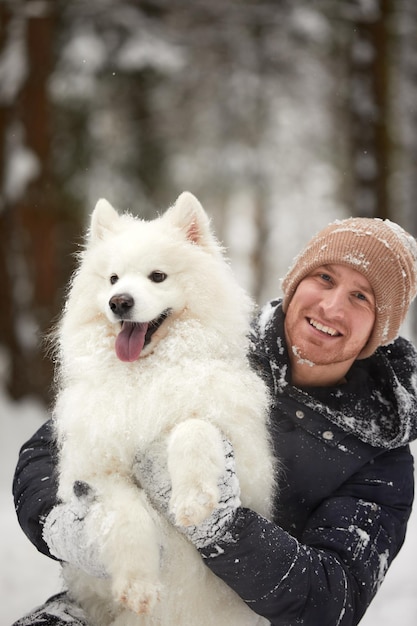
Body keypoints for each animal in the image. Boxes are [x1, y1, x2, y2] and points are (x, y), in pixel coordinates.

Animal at [51, 191, 272, 624]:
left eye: (158, 276)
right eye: (113, 279)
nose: (119, 302)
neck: (145, 374)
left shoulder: (250, 466)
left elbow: (193, 427)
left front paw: (193, 500)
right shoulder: (92, 474)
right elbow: (127, 514)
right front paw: (137, 585)